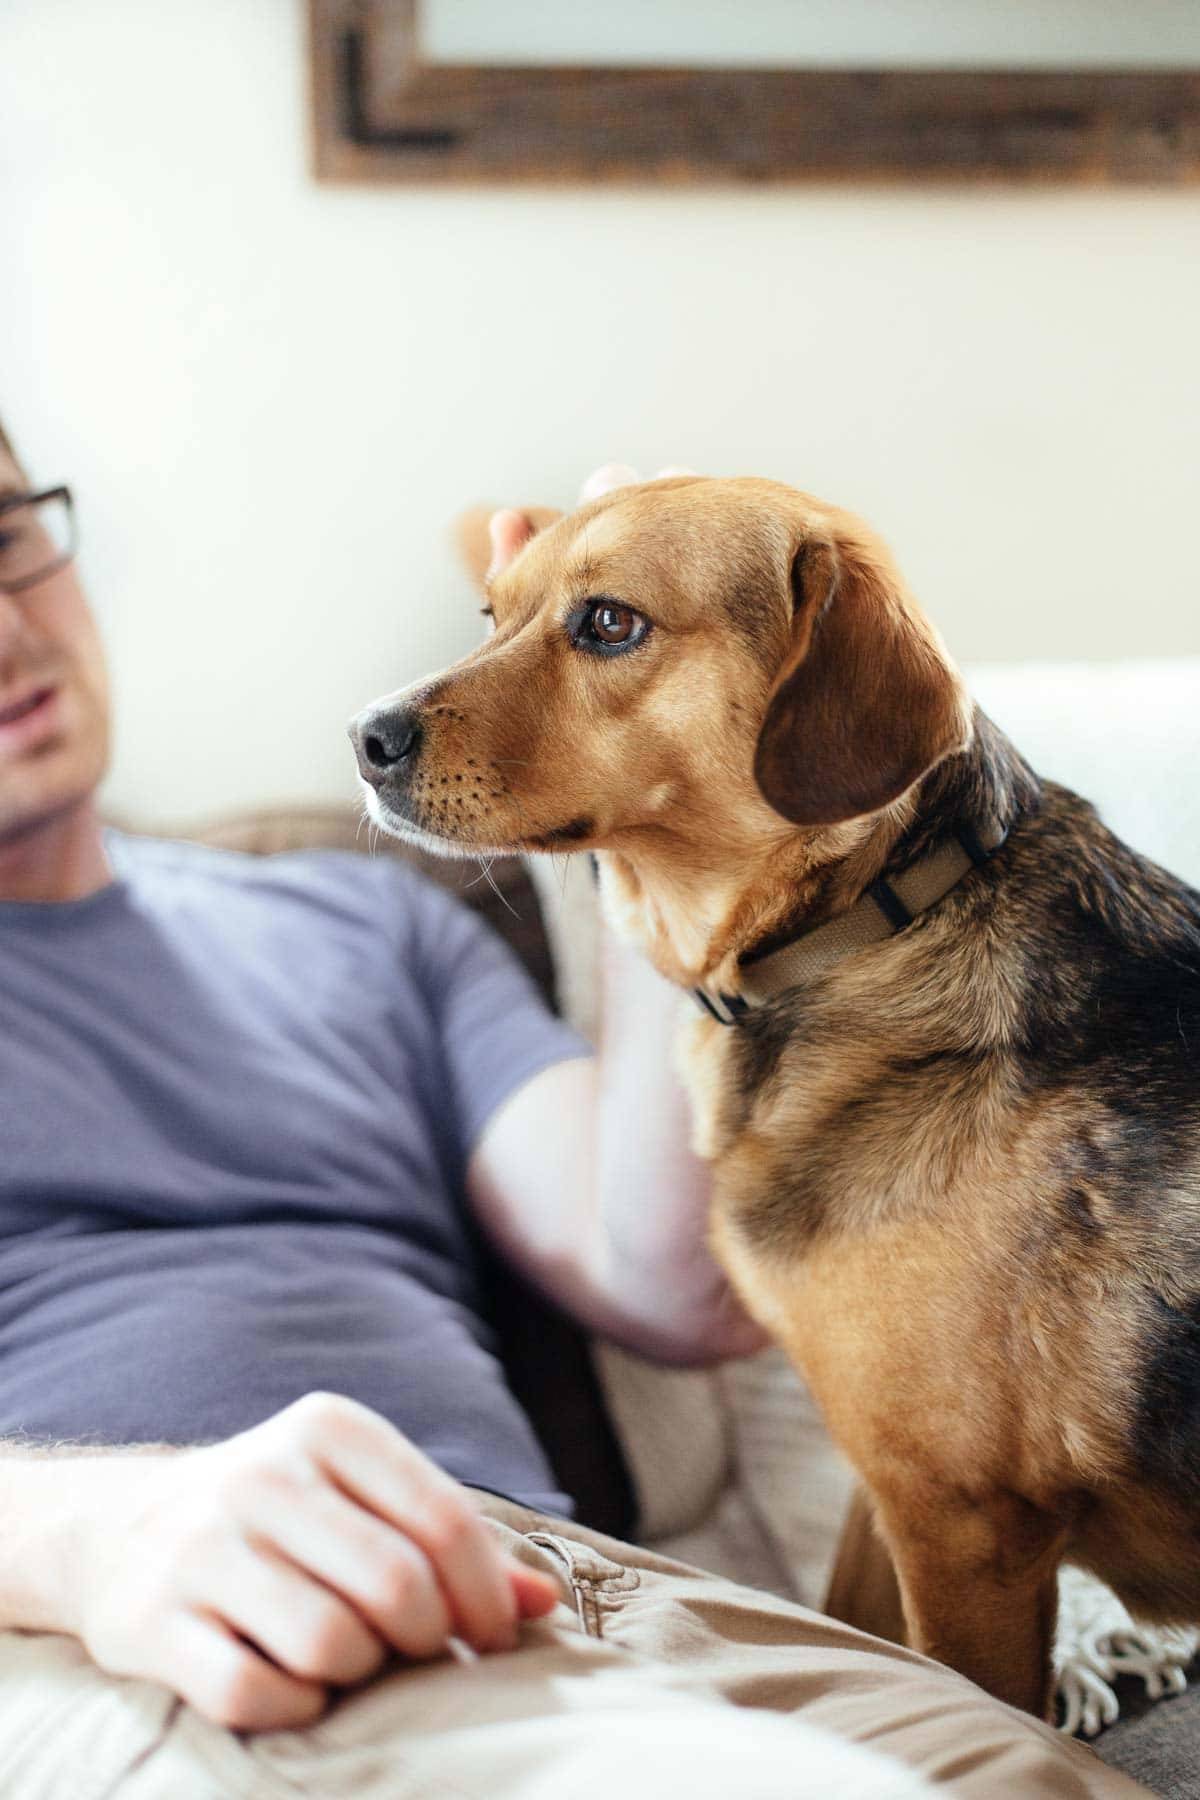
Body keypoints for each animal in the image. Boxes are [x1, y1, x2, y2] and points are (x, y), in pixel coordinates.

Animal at [347, 475, 1200, 1713]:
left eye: (609, 623)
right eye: (490, 612)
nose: (364, 737)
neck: (868, 924)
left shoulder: (962, 1522)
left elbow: (975, 1690)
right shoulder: (889, 1485)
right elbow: (866, 1625)